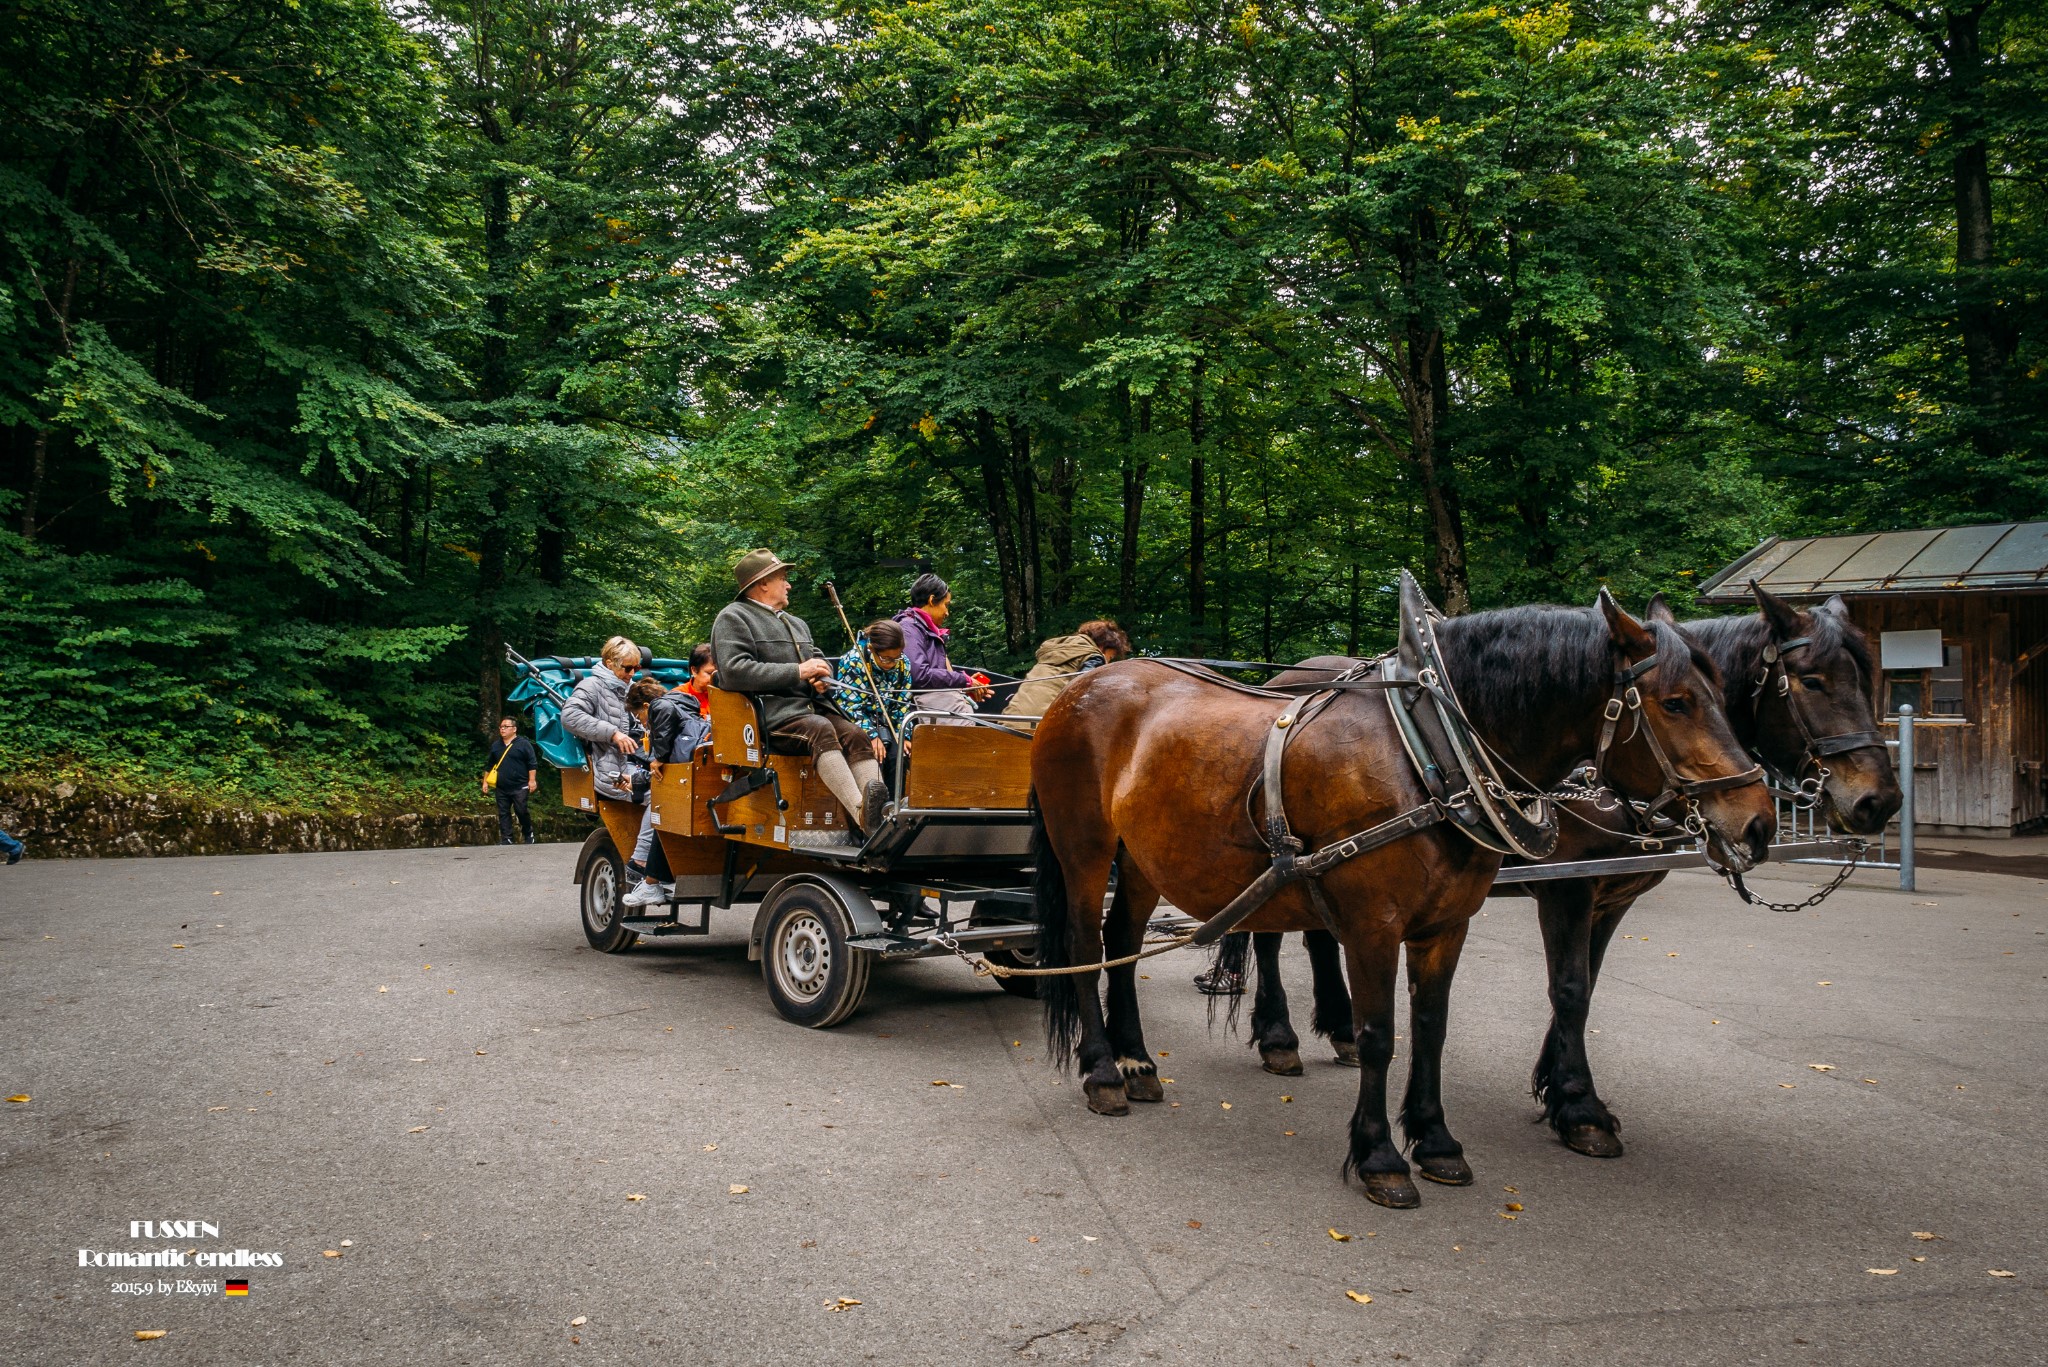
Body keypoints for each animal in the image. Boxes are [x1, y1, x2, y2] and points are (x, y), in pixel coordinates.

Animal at [1032, 590, 1769, 1205]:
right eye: (1675, 701)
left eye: (1725, 692)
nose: (1758, 820)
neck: (1431, 751)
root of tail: (1083, 686)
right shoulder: (1374, 924)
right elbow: (1379, 1032)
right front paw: (1379, 1154)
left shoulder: (1447, 924)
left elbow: (1431, 1028)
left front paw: (1436, 1140)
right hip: (1085, 845)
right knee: (1085, 942)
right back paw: (1103, 1070)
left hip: (1144, 854)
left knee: (1124, 941)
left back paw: (1137, 1060)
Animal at [1245, 590, 1900, 1164]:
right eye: (1812, 680)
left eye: (1867, 678)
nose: (1879, 802)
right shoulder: (1568, 887)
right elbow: (1569, 988)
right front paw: (1579, 1107)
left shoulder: (1611, 896)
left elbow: (1586, 984)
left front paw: (1558, 1086)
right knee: (1266, 936)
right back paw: (1279, 1036)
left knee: (1316, 935)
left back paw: (1339, 1027)